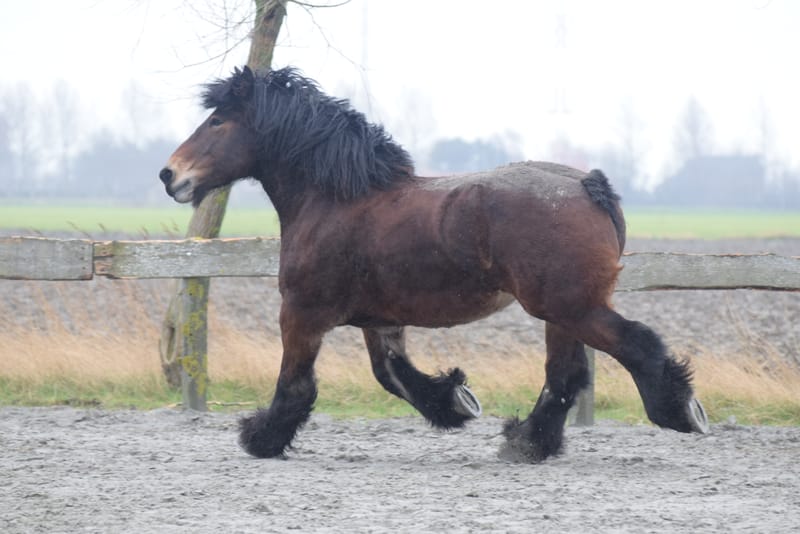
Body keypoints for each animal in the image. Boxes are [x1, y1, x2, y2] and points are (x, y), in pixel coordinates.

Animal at [159, 66, 709, 462]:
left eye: (218, 120)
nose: (170, 175)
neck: (335, 200)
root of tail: (587, 185)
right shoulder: (379, 320)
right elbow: (393, 375)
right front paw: (457, 402)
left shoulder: (301, 313)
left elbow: (295, 385)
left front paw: (259, 438)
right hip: (561, 313)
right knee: (564, 376)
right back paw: (527, 442)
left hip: (571, 307)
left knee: (634, 347)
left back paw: (682, 412)